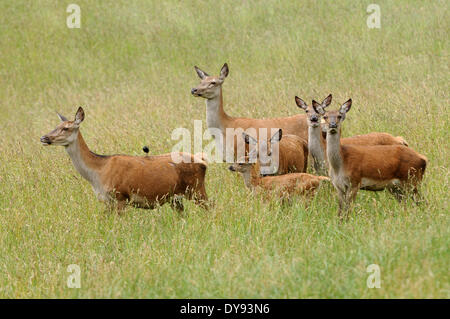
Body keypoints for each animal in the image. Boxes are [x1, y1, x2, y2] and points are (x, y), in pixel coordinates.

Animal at [39, 107, 208, 212]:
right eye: (56, 125)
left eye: (66, 128)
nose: (44, 138)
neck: (98, 172)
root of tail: (202, 161)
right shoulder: (107, 201)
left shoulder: (121, 196)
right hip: (175, 198)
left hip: (196, 189)